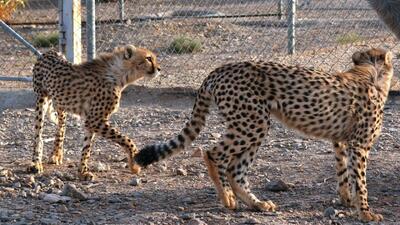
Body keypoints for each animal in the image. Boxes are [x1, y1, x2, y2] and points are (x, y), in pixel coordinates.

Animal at [27, 44, 161, 180]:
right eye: (148, 58)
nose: (159, 69)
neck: (120, 74)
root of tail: (50, 52)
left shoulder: (92, 120)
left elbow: (87, 147)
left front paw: (82, 171)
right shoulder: (95, 120)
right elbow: (127, 140)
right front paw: (136, 163)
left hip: (61, 104)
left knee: (61, 128)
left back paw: (56, 155)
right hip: (41, 99)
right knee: (38, 134)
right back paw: (35, 163)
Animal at [134, 48, 394, 222]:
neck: (369, 71)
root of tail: (219, 69)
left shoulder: (340, 141)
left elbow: (343, 173)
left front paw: (346, 200)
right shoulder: (360, 146)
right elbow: (360, 180)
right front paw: (366, 212)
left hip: (253, 124)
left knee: (235, 169)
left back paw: (257, 204)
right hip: (253, 122)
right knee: (213, 153)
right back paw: (228, 198)